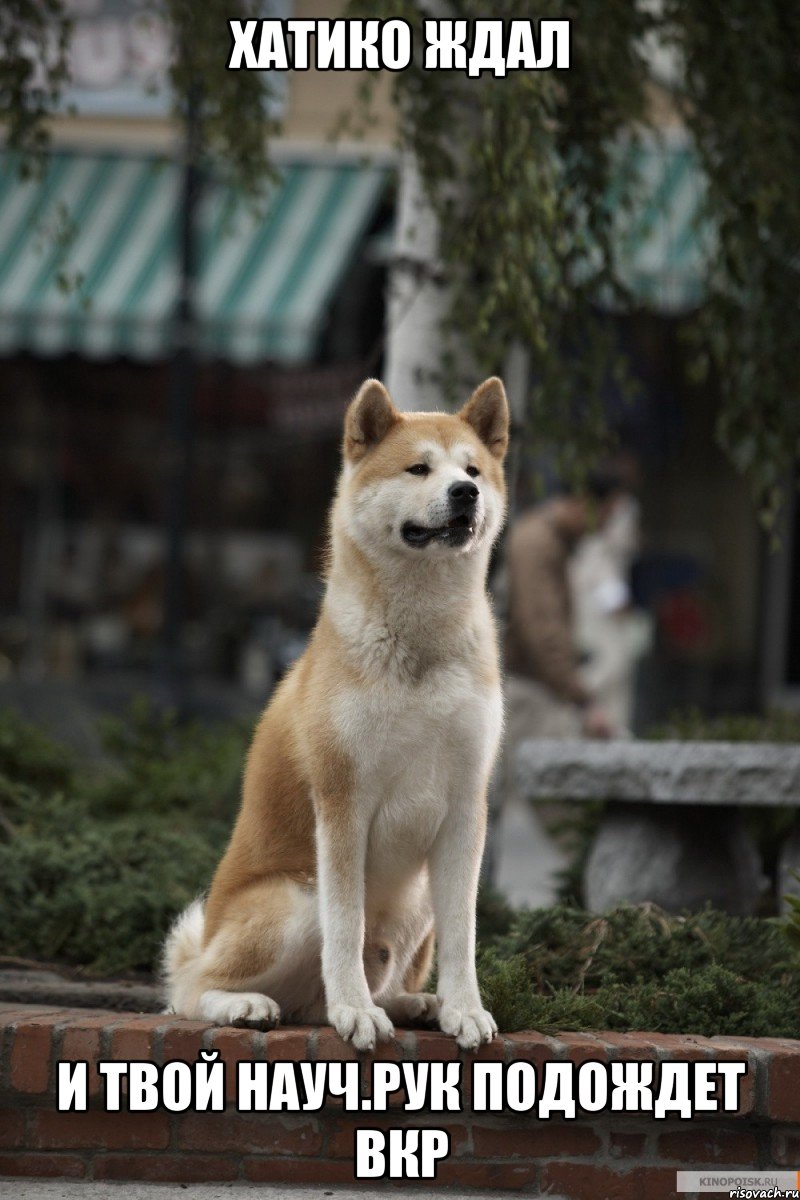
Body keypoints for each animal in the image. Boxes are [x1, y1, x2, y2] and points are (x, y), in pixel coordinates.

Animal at [165, 374, 510, 1051]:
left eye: (473, 470)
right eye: (418, 468)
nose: (465, 493)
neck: (420, 643)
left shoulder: (466, 806)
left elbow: (464, 935)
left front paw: (464, 1009)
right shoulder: (343, 801)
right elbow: (345, 928)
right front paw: (355, 1011)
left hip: (417, 899)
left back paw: (414, 1003)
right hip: (295, 900)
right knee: (189, 990)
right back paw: (250, 1005)